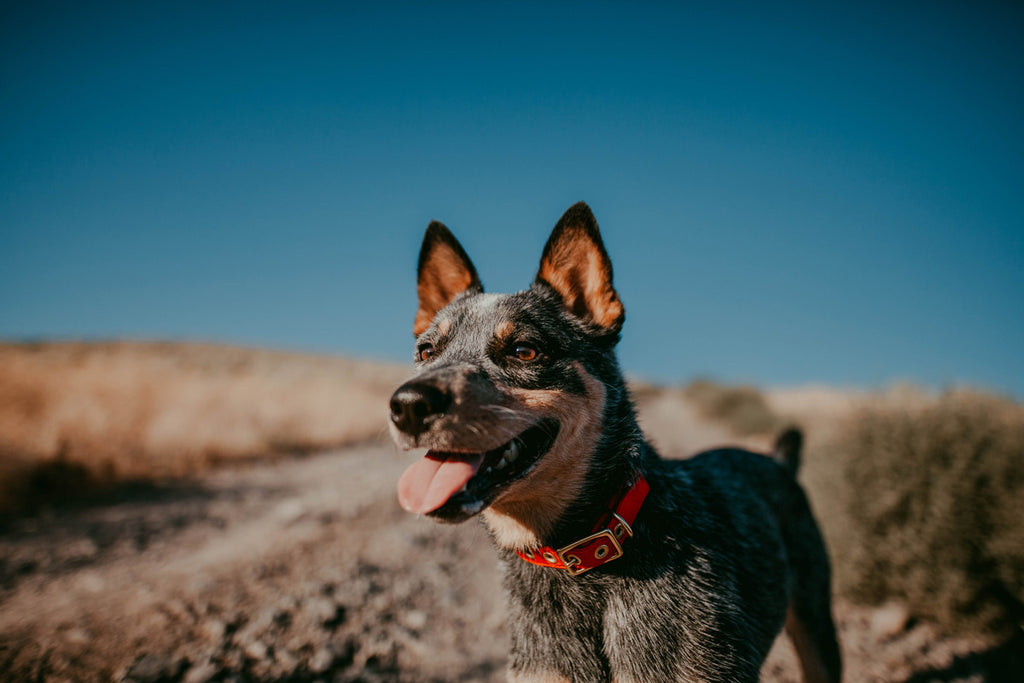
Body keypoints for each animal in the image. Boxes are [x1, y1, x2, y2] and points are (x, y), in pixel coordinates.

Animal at [385, 204, 839, 683]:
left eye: (524, 351)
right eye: (426, 352)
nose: (408, 405)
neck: (578, 556)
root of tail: (778, 460)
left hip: (816, 624)